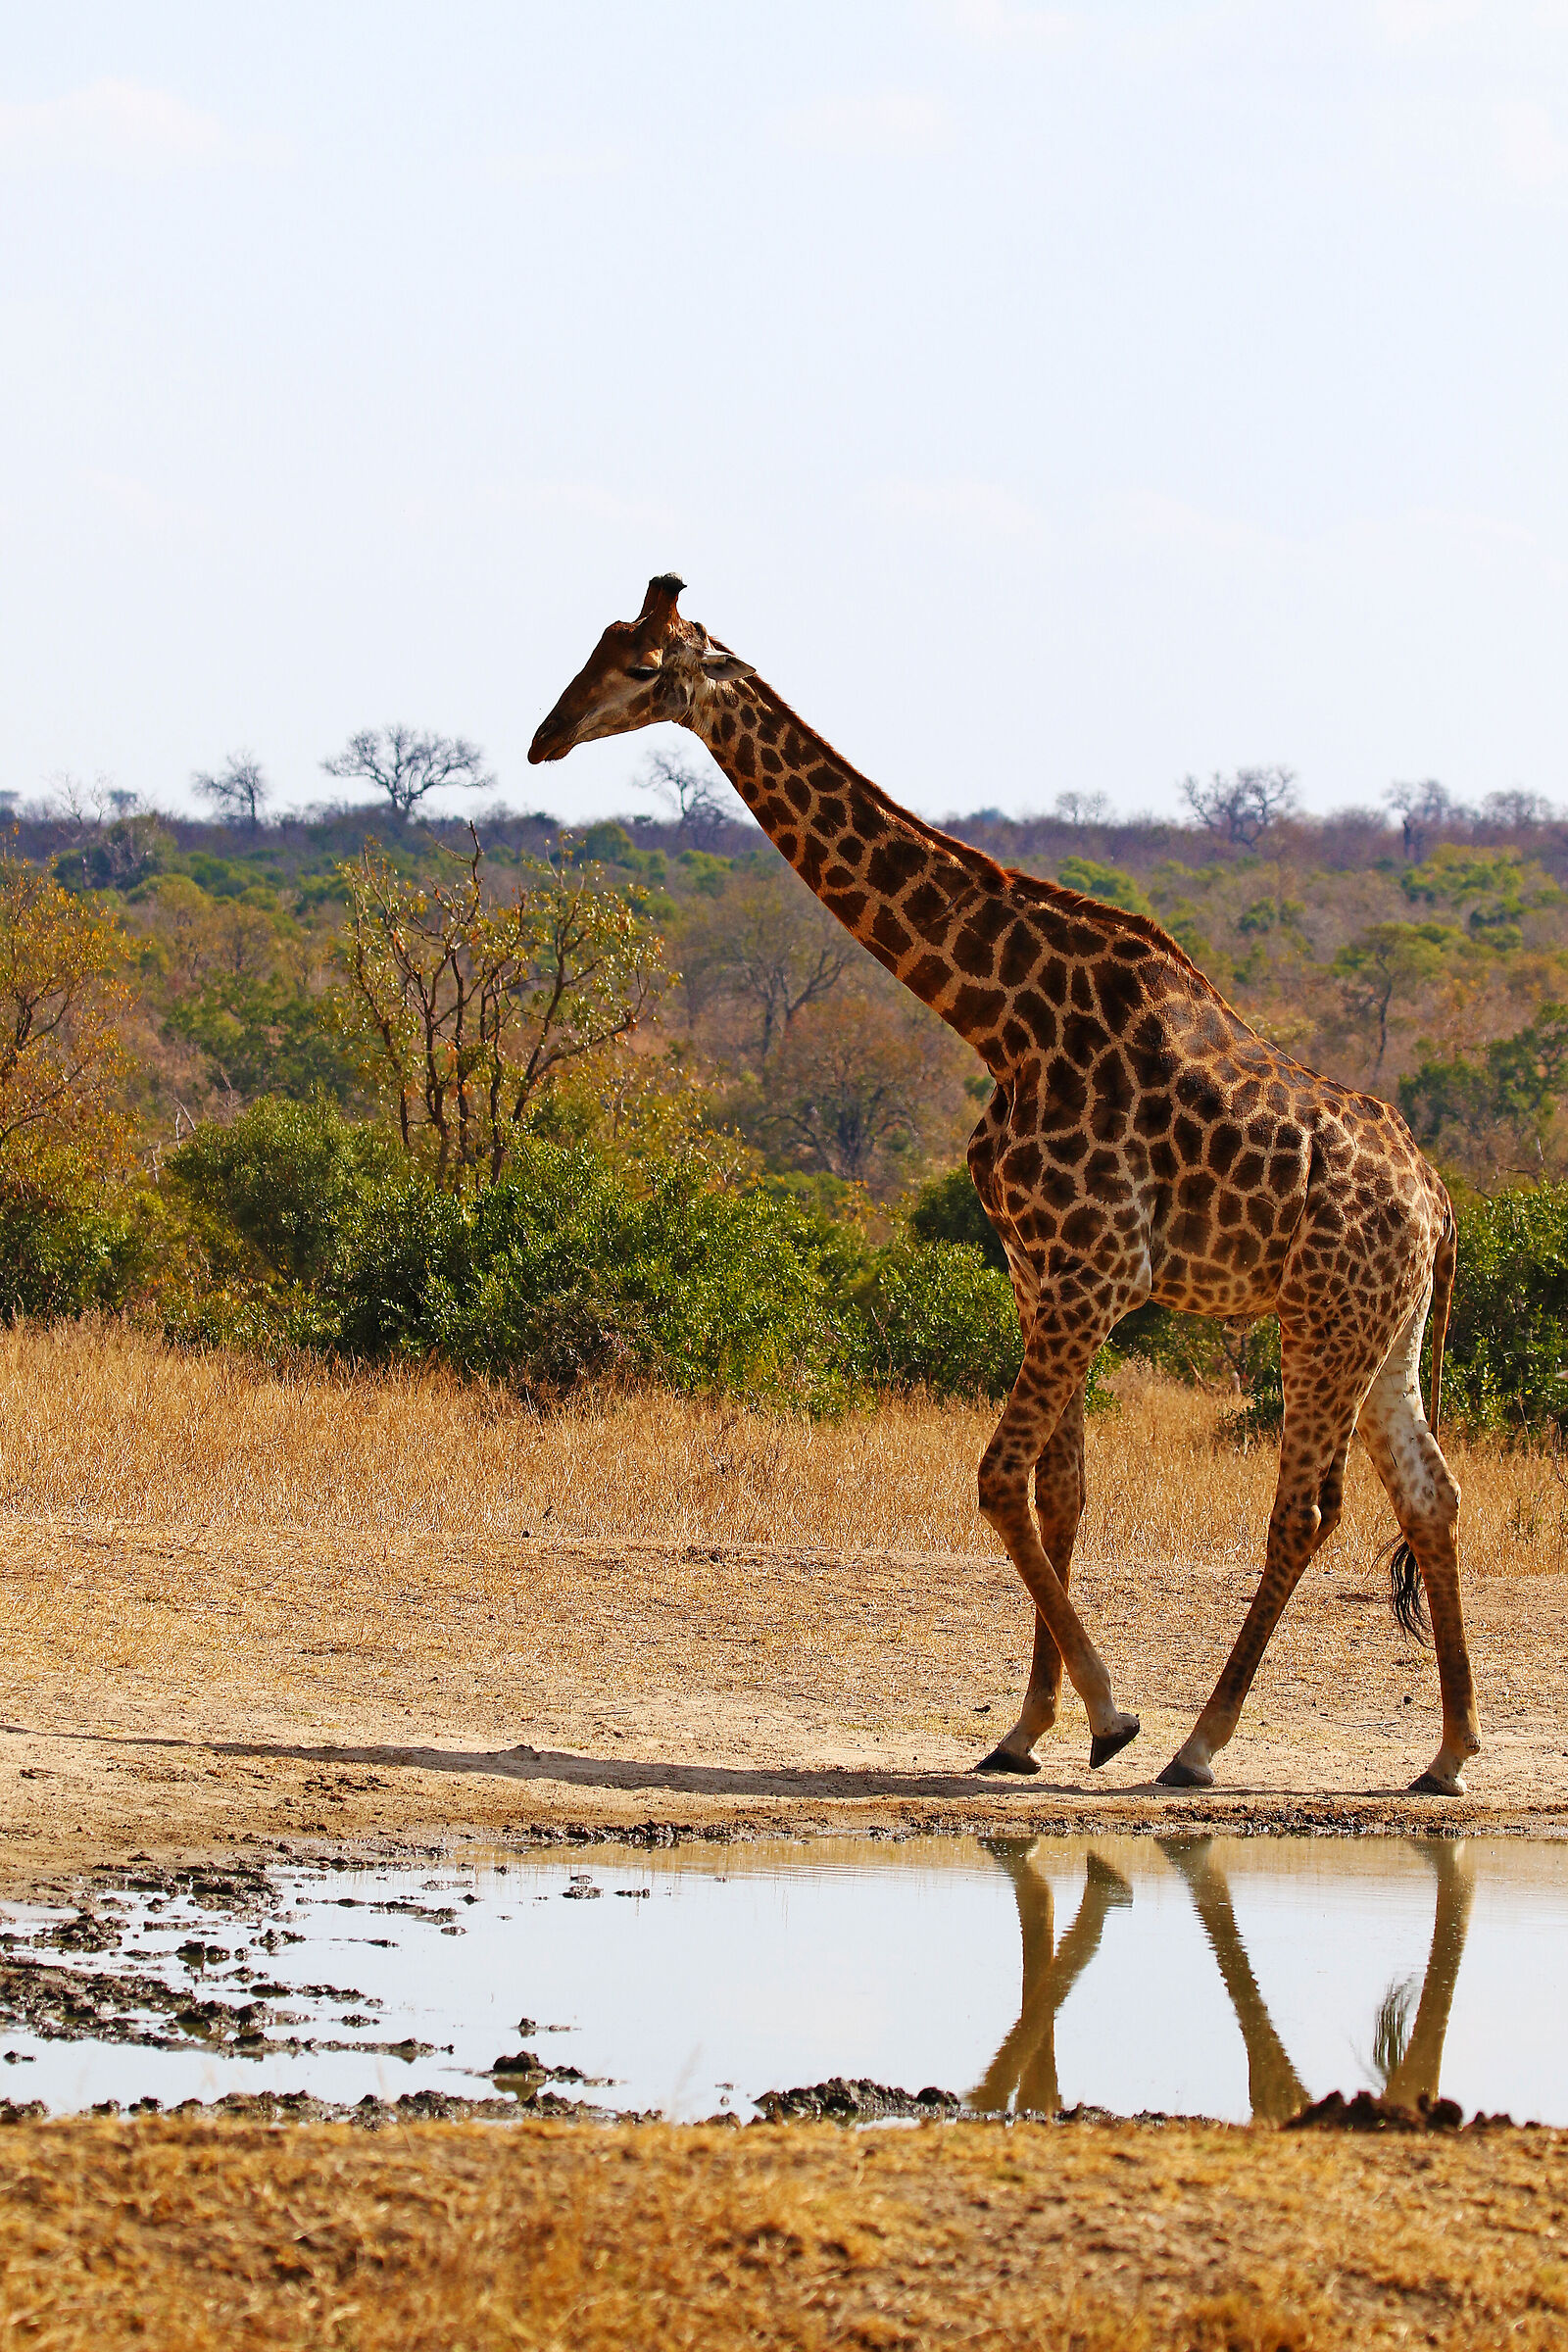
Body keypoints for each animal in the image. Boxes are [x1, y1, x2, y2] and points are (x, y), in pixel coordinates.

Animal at [529, 575, 1482, 1797]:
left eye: (646, 666)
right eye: (598, 644)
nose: (545, 738)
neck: (1000, 1018)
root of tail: (1436, 1202)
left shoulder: (1091, 1275)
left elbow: (994, 1480)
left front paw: (1112, 1718)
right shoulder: (1041, 1274)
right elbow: (1057, 1492)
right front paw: (1029, 1729)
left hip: (1321, 1319)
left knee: (1305, 1510)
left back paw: (1200, 1744)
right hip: (1382, 1328)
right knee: (1430, 1495)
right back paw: (1447, 1752)